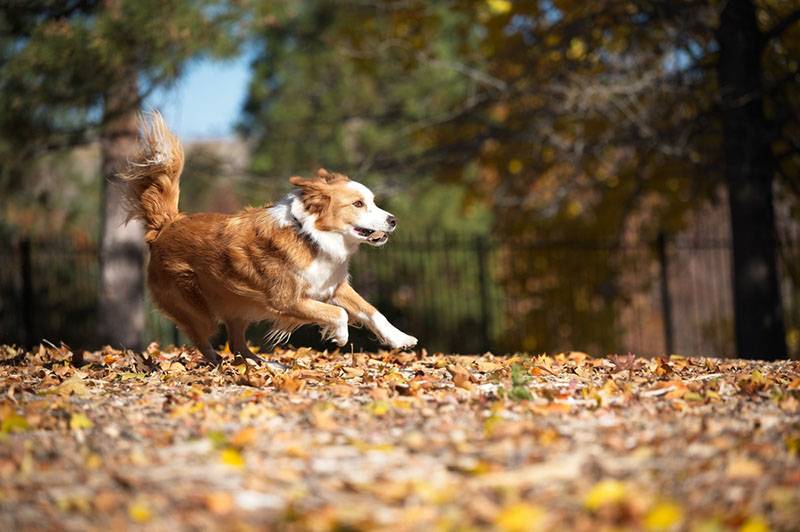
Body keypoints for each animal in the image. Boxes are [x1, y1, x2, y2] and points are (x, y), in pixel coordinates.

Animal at [122, 110, 418, 364]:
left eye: (373, 201)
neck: (311, 237)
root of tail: (167, 224)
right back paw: (220, 364)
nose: (393, 220)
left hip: (238, 304)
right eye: (358, 204)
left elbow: (372, 312)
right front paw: (340, 335)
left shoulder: (334, 286)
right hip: (199, 308)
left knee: (237, 344)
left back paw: (262, 365)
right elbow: (339, 313)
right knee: (203, 339)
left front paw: (400, 338)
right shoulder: (287, 300)